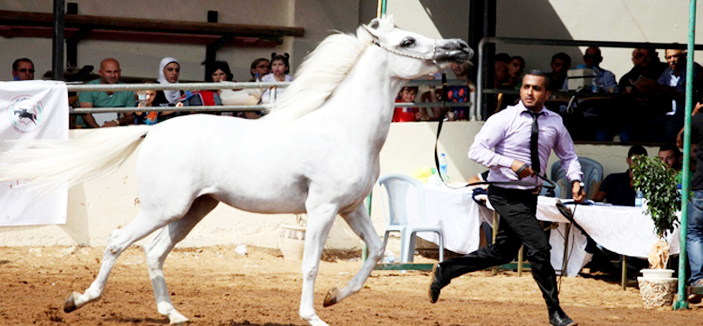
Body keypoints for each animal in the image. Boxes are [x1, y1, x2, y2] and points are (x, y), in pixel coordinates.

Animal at [1, 15, 472, 326]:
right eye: (408, 41)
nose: (462, 49)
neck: (343, 129)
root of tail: (153, 131)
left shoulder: (351, 207)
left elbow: (374, 252)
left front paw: (334, 298)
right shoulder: (322, 210)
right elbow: (310, 264)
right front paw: (313, 315)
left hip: (195, 209)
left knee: (154, 252)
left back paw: (173, 313)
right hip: (164, 208)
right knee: (119, 242)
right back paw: (77, 300)